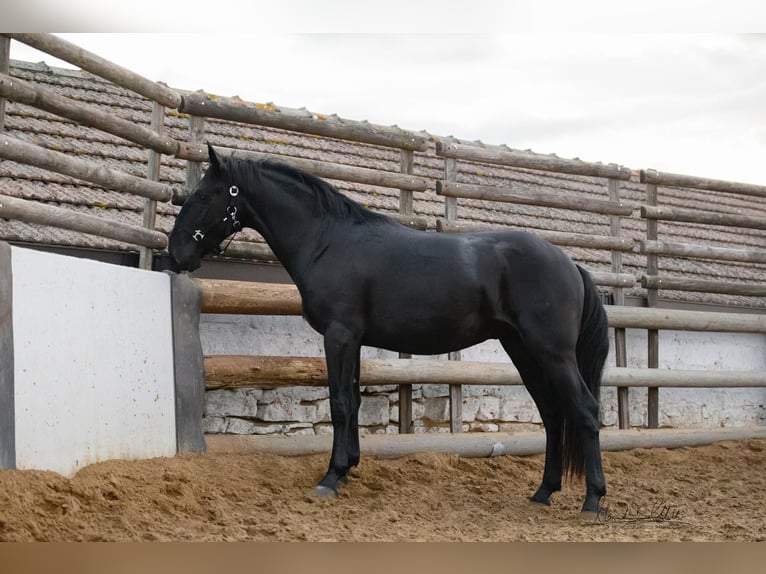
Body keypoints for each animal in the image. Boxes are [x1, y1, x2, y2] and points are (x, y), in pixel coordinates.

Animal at [170, 146, 612, 516]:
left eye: (204, 196)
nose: (175, 252)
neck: (328, 241)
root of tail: (569, 264)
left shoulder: (339, 335)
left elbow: (339, 403)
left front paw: (331, 477)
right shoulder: (353, 340)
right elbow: (352, 401)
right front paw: (348, 467)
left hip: (551, 351)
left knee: (585, 410)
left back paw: (592, 500)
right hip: (522, 349)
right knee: (553, 413)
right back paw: (544, 492)